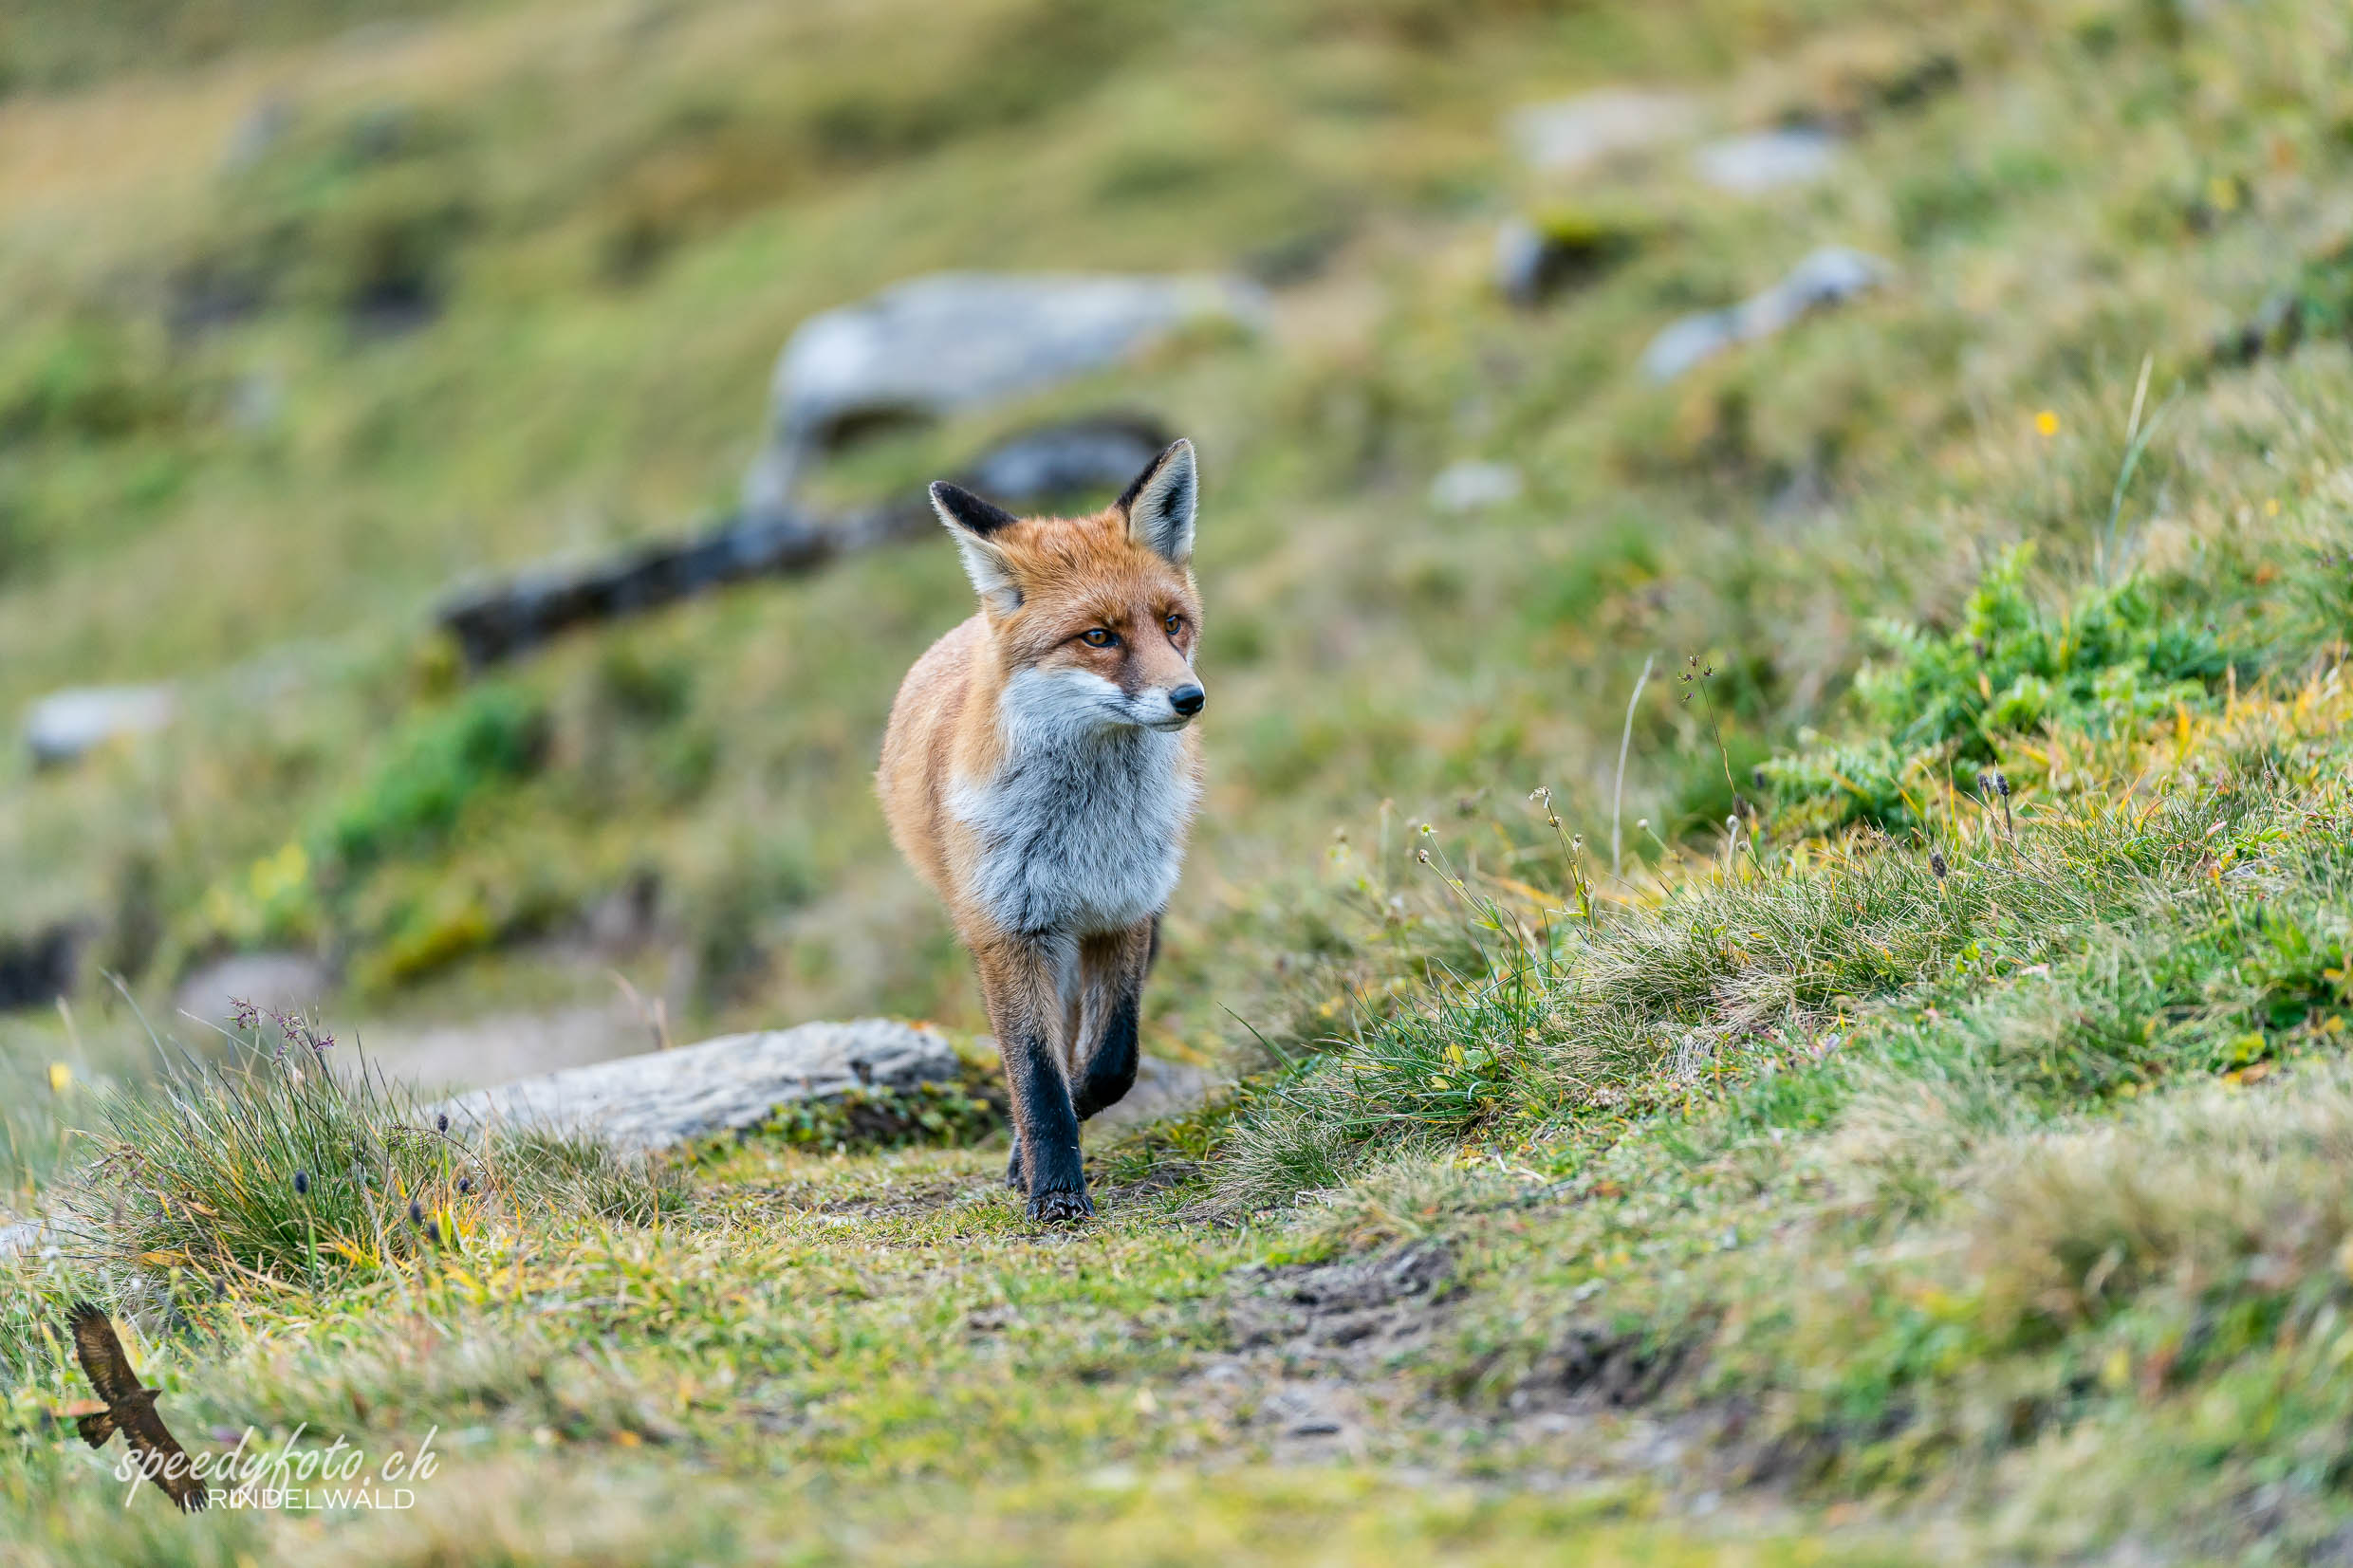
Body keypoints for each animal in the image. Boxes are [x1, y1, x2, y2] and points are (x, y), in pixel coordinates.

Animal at [884, 439, 1214, 1222]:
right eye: (1099, 636)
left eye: (1173, 622)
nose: (1189, 697)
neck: (1086, 832)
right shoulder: (1011, 930)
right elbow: (1037, 1077)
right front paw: (1056, 1189)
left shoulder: (1124, 912)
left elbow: (1111, 1063)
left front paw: (1054, 1147)